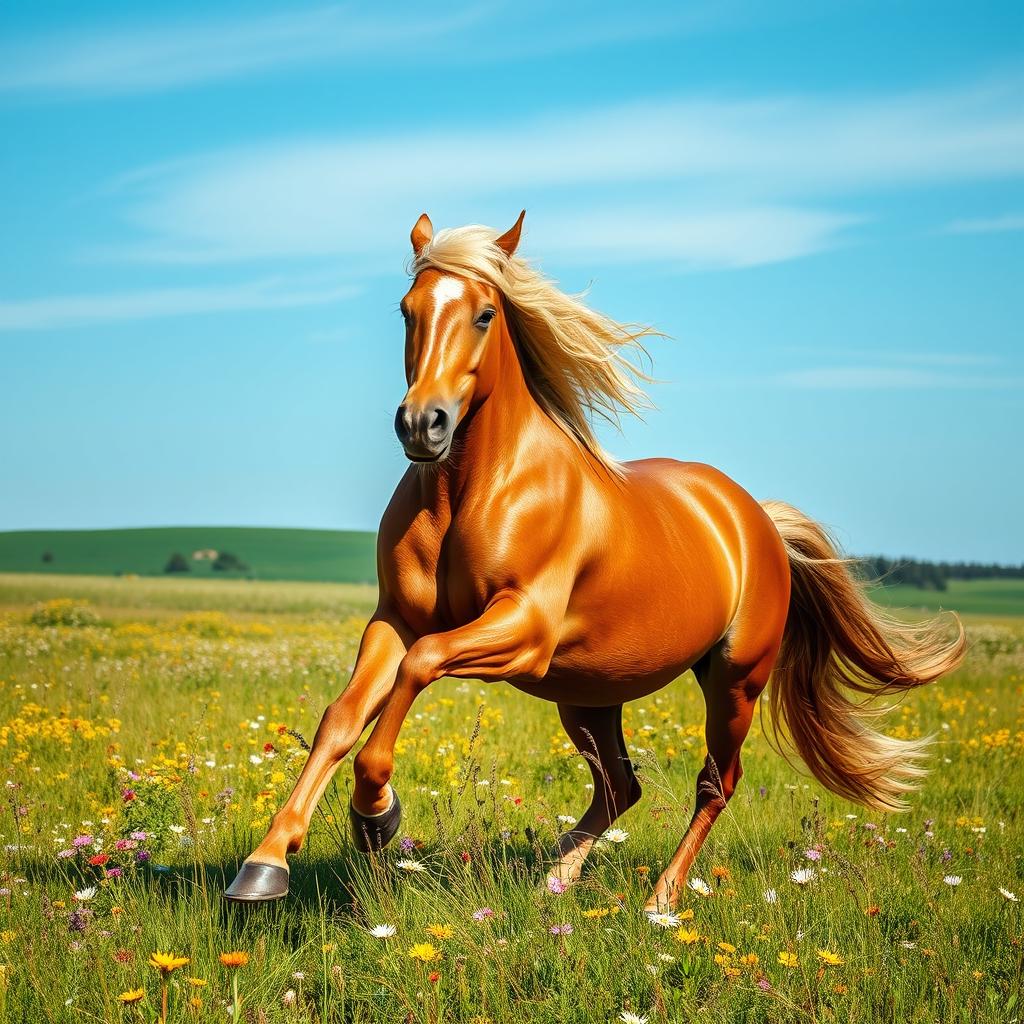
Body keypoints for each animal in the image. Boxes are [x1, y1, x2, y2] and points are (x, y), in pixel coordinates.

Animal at [225, 212, 965, 910]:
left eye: (485, 314)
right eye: (408, 311)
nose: (421, 425)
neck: (474, 491)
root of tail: (754, 517)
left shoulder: (523, 629)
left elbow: (421, 665)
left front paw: (376, 815)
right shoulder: (396, 619)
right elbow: (341, 718)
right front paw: (266, 864)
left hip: (733, 682)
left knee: (715, 782)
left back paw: (660, 899)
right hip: (588, 694)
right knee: (620, 786)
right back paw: (553, 880)